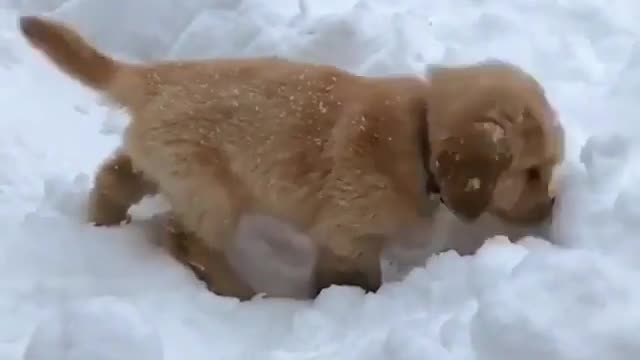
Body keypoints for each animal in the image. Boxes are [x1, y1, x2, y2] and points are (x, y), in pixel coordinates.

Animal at [17, 15, 564, 296]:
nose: (552, 207)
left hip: (159, 161)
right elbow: (353, 278)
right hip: (209, 188)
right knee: (187, 239)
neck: (419, 131)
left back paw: (102, 224)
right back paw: (239, 291)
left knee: (114, 177)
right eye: (532, 172)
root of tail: (153, 77)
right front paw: (348, 303)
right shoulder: (349, 233)